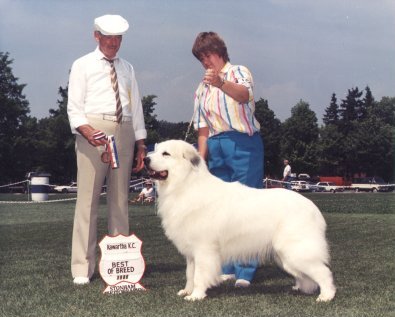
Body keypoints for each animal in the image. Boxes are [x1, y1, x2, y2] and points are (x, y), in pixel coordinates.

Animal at [145, 139, 338, 300]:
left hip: (295, 251)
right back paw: (302, 288)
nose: (145, 160)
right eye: (155, 150)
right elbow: (189, 274)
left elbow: (199, 275)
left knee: (323, 272)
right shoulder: (191, 252)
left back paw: (326, 296)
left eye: (166, 154)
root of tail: (313, 208)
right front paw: (187, 291)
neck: (186, 184)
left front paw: (196, 296)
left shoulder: (203, 249)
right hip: (285, 256)